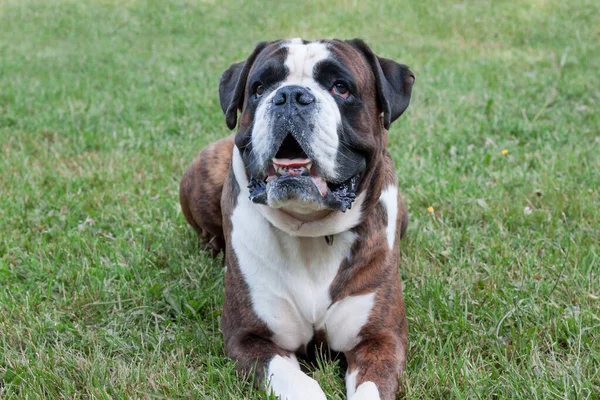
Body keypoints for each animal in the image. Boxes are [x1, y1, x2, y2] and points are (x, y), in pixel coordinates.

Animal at [178, 38, 412, 400]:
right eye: (259, 88)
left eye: (341, 87)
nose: (289, 95)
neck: (312, 229)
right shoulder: (251, 339)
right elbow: (301, 385)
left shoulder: (380, 340)